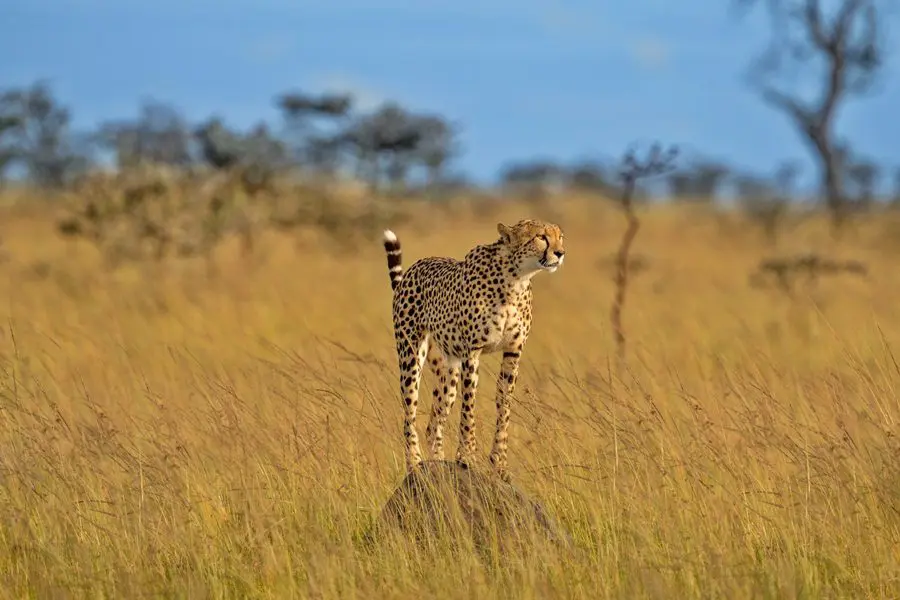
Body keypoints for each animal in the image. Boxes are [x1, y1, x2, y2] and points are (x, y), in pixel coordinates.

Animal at [382, 218, 568, 480]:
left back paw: (438, 464)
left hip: (449, 371)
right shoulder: (472, 352)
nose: (560, 253)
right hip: (411, 356)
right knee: (409, 413)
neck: (515, 279)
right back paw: (415, 464)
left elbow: (504, 406)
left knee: (433, 423)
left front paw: (499, 463)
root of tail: (415, 266)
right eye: (541, 237)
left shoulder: (513, 351)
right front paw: (466, 457)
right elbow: (469, 407)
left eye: (560, 237)